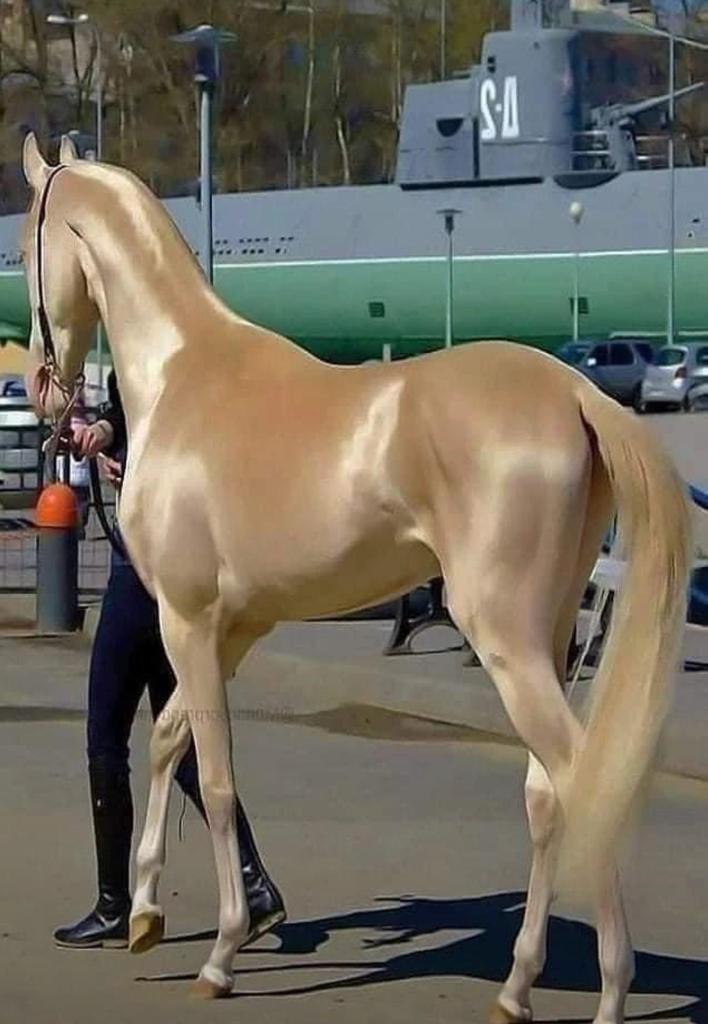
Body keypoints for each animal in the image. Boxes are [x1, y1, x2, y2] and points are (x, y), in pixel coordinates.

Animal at [21, 132, 690, 1022]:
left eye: (24, 239)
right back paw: (516, 987)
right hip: (544, 639)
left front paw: (221, 954)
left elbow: (218, 777)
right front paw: (143, 915)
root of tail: (578, 391)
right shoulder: (234, 628)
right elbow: (169, 743)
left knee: (585, 781)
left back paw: (612, 992)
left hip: (505, 641)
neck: (183, 375)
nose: (40, 385)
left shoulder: (188, 622)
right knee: (547, 797)